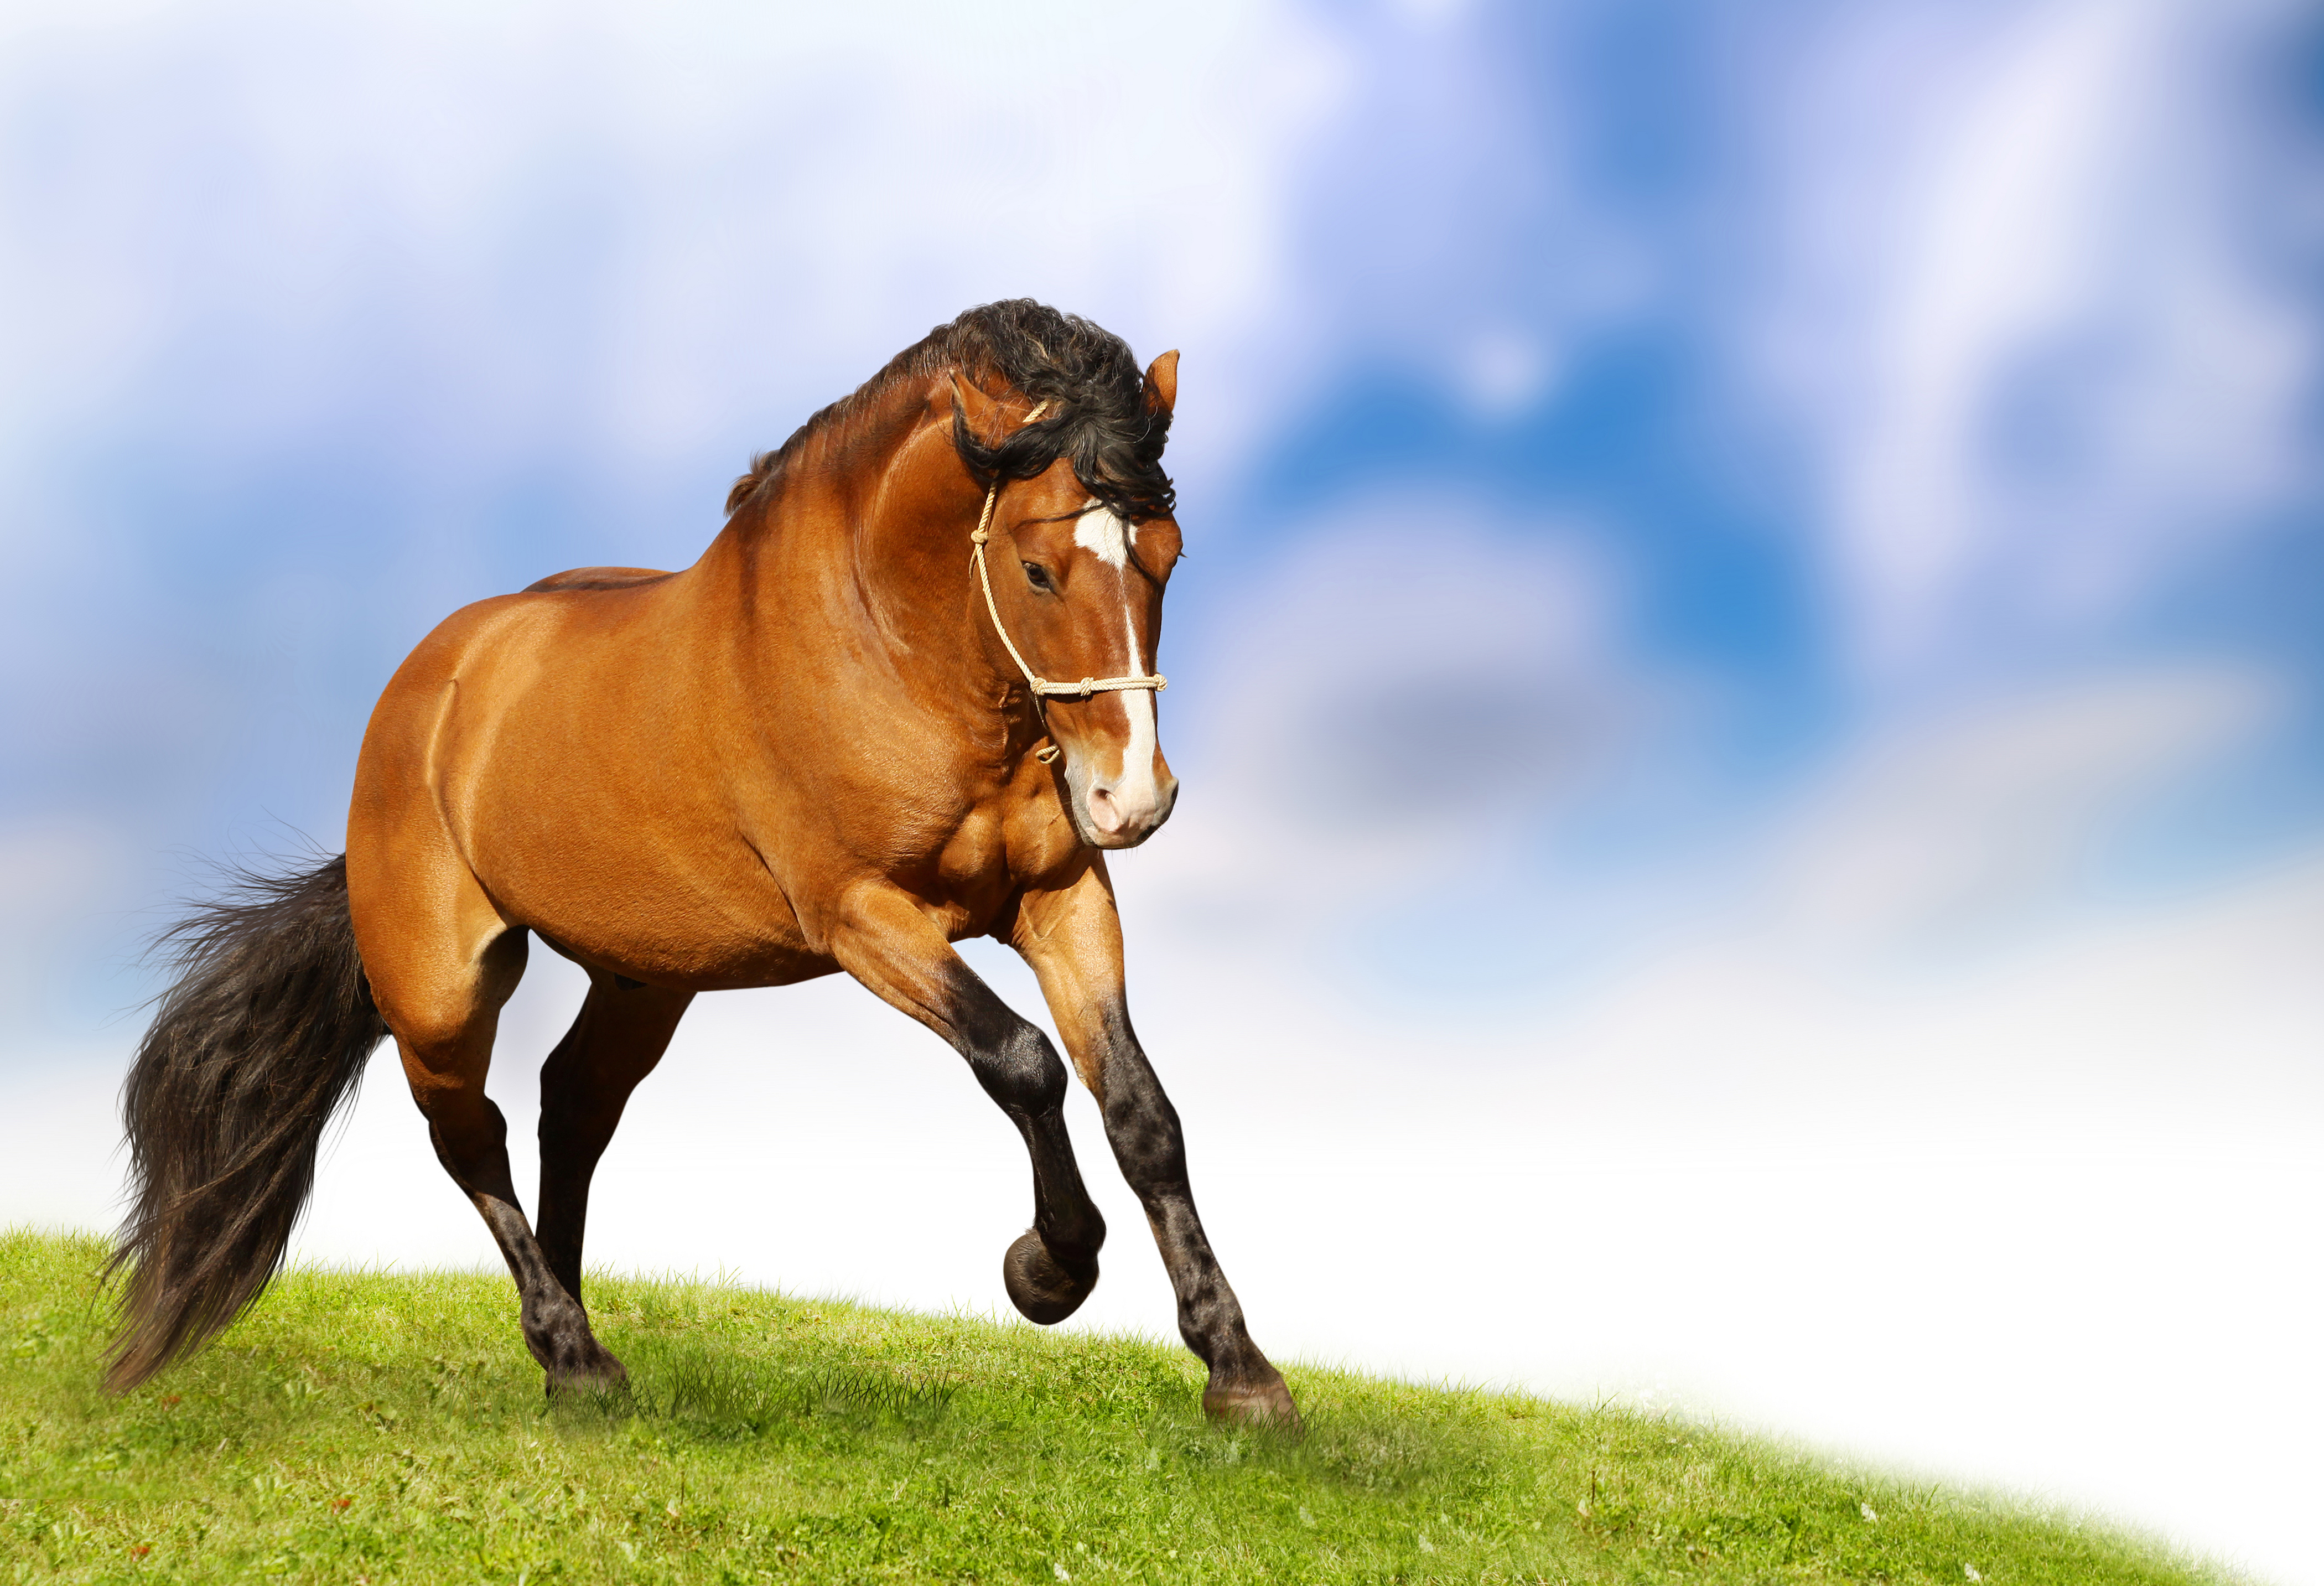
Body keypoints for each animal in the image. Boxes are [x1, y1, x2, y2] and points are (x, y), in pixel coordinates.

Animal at [106, 299, 1299, 1428]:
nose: (1132, 798)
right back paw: (573, 1354)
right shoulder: (864, 916)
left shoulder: (1060, 899)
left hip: (644, 975)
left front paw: (1242, 1375)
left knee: (572, 1107)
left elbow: (1142, 1111)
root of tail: (428, 685)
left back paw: (569, 1344)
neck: (890, 650)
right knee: (470, 1134)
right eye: (1041, 569)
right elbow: (1022, 1061)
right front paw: (1047, 1269)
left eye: (1168, 555)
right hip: (441, 987)